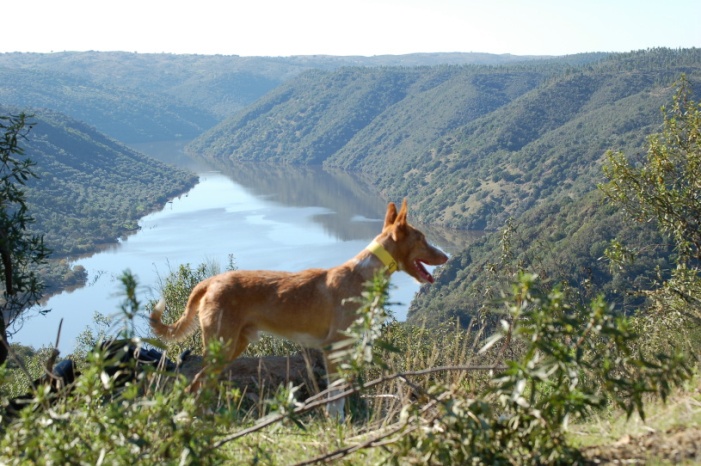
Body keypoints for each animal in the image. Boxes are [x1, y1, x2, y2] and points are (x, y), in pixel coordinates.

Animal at [151, 198, 448, 416]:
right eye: (422, 239)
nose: (446, 256)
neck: (363, 274)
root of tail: (211, 280)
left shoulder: (346, 349)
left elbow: (340, 396)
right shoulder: (334, 349)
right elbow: (335, 398)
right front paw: (335, 425)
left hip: (233, 346)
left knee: (203, 382)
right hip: (221, 345)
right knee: (195, 383)